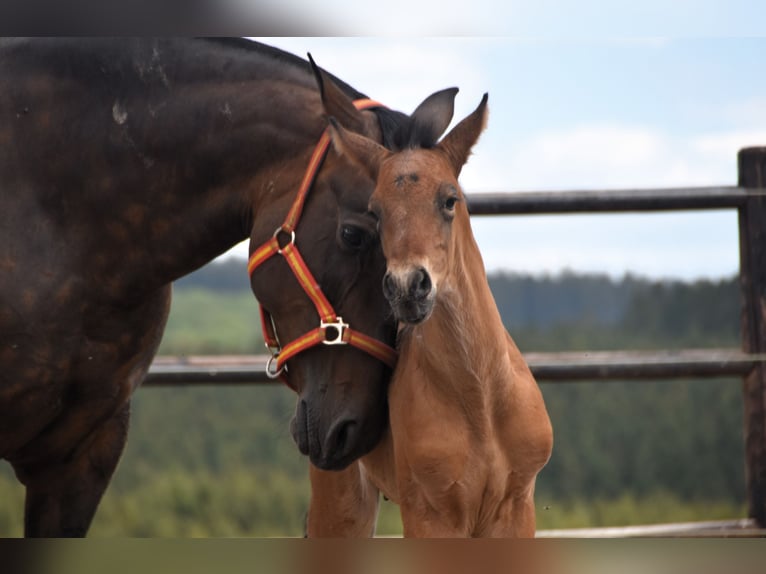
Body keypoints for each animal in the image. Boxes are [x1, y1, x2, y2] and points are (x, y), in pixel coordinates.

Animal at [308, 93, 556, 540]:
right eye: (375, 212)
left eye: (449, 199)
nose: (408, 287)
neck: (480, 397)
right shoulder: (432, 512)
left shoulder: (514, 508)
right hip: (342, 500)